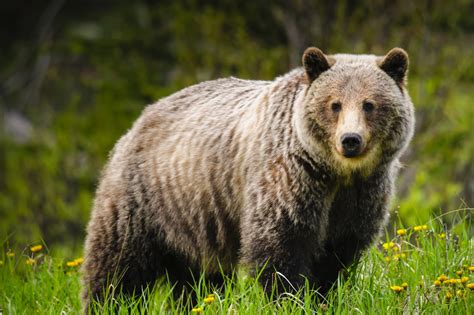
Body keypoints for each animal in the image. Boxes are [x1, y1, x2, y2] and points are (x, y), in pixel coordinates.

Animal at [81, 47, 414, 312]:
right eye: (335, 104)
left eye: (369, 104)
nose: (350, 140)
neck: (334, 172)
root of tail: (139, 120)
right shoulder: (289, 179)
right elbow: (280, 248)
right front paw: (289, 300)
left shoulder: (361, 194)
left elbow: (337, 255)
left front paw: (325, 297)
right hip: (144, 198)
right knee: (118, 266)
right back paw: (105, 303)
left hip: (194, 221)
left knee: (199, 279)